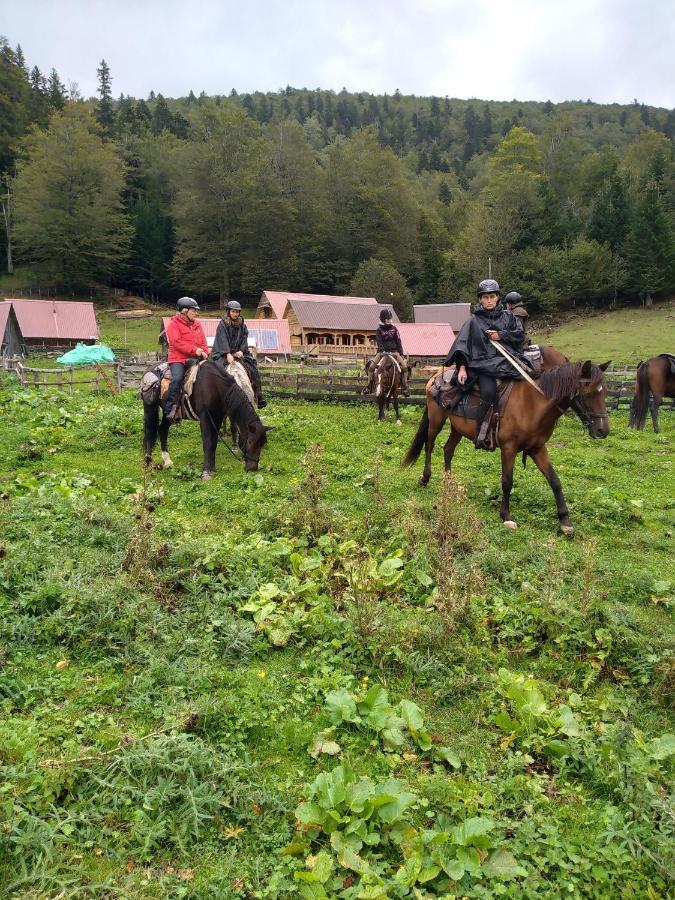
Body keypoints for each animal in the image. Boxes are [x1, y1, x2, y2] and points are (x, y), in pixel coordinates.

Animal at [404, 360, 616, 536]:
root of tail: (435, 377)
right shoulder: (509, 448)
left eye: (605, 392)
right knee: (429, 446)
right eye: (588, 393)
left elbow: (555, 481)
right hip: (436, 419)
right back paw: (425, 478)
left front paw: (565, 521)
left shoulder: (537, 448)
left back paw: (449, 483)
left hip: (458, 427)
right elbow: (507, 481)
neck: (532, 405)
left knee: (448, 450)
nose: (602, 431)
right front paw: (506, 515)